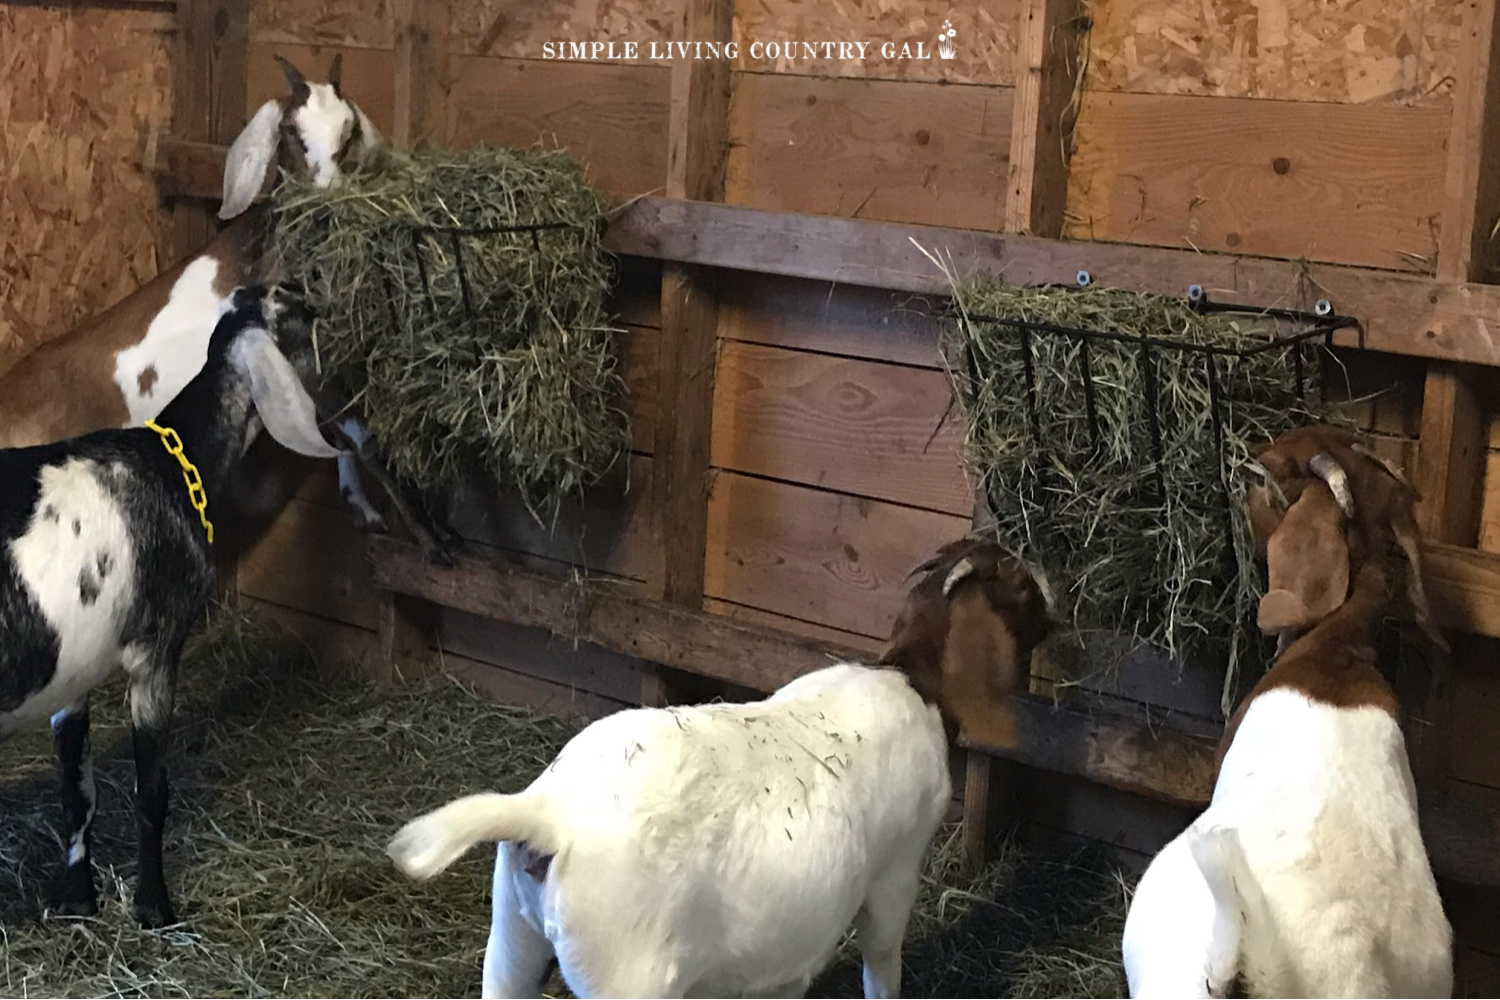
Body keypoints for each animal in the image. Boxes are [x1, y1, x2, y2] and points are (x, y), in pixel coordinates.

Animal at [0, 52, 444, 563]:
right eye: (290, 131)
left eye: (349, 132)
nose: (326, 201)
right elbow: (359, 435)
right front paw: (433, 541)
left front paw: (371, 512)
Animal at [0, 283, 343, 929]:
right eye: (293, 311)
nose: (324, 309)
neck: (175, 460)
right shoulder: (156, 648)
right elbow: (151, 791)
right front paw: (154, 904)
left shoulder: (73, 669)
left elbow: (76, 791)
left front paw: (78, 896)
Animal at [381, 539, 1050, 1000]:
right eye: (1020, 583)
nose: (1055, 608)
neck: (915, 678)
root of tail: (547, 815)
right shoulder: (895, 873)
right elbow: (882, 965)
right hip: (626, 974)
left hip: (511, 942)